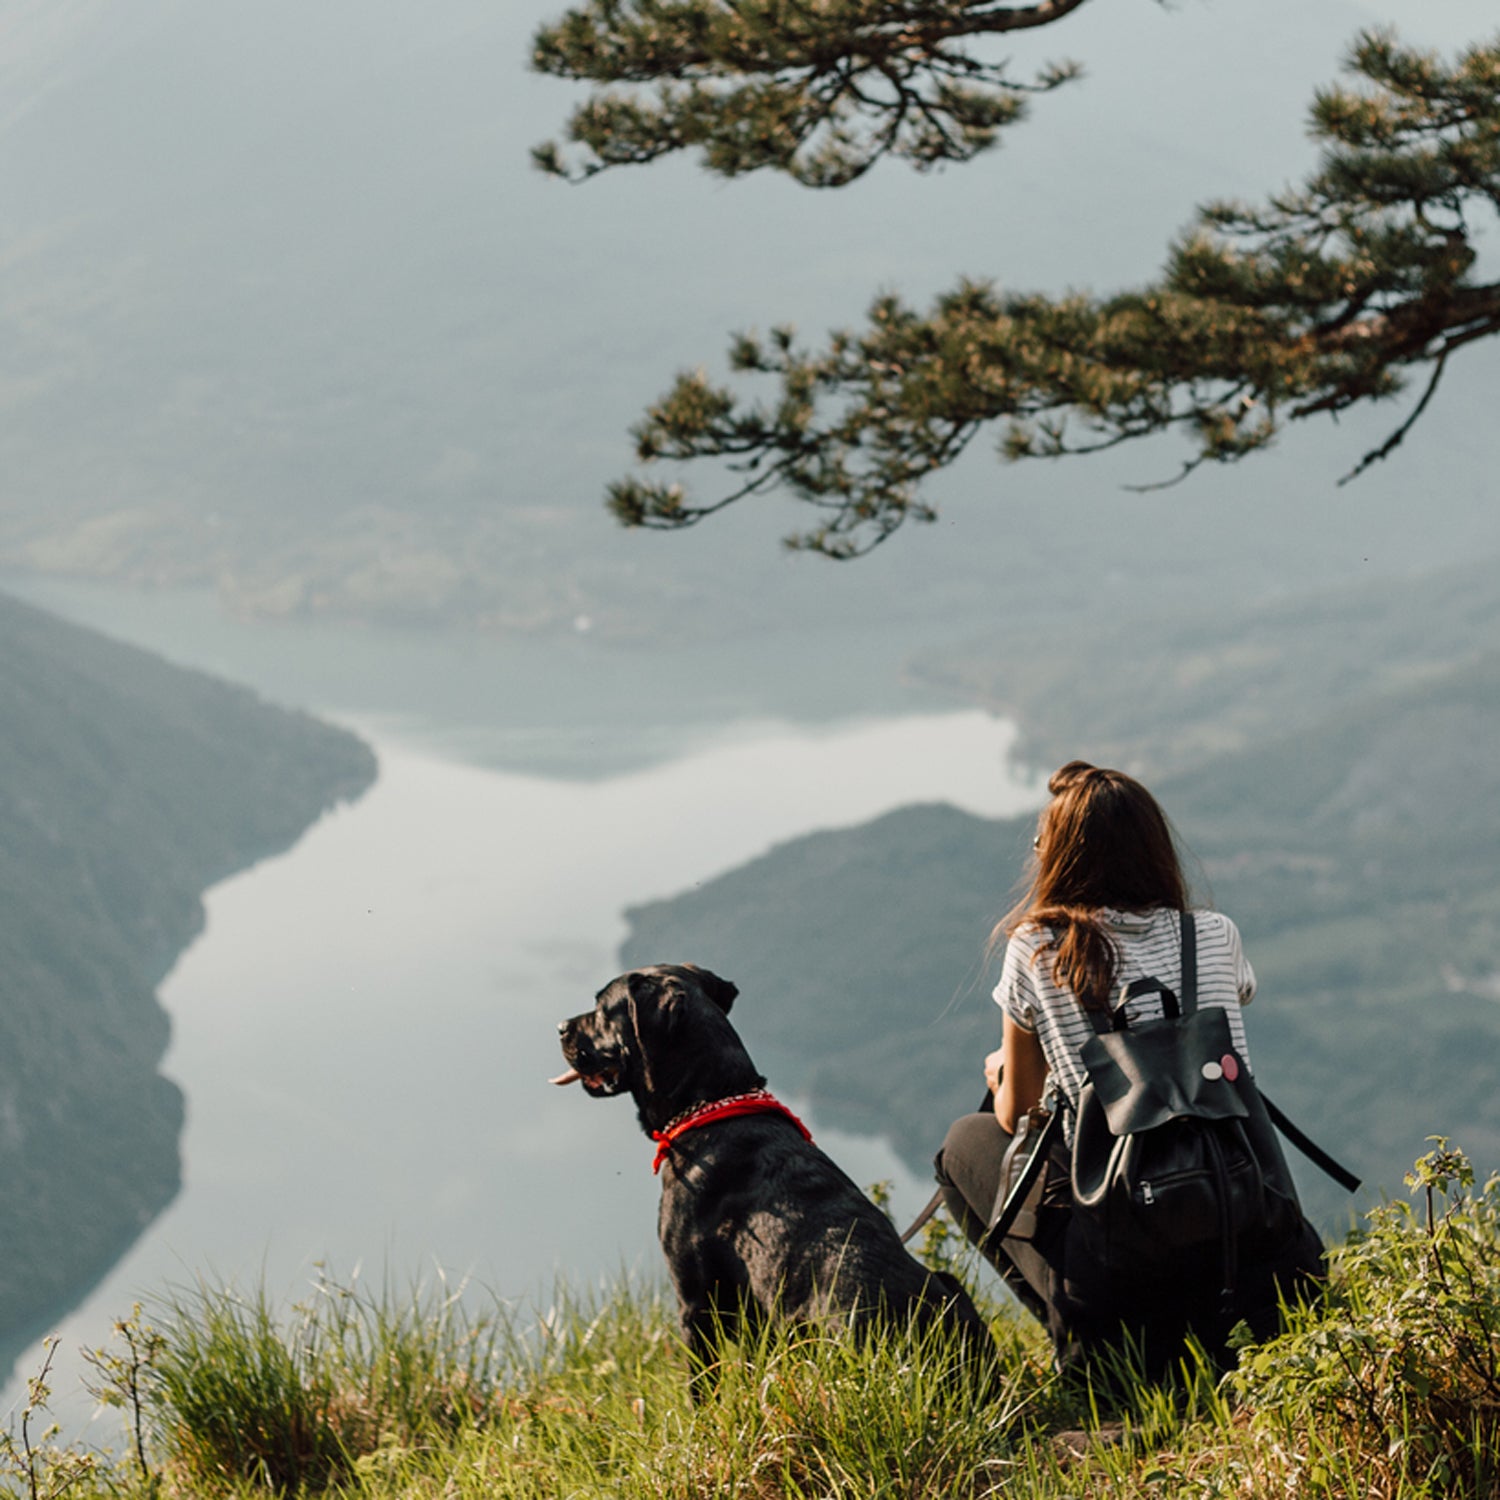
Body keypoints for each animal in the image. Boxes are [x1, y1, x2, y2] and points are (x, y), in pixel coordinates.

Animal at [552, 966, 996, 1386]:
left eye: (601, 1007)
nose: (560, 1028)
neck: (715, 1103)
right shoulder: (752, 1318)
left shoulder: (695, 1301)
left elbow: (702, 1387)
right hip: (951, 1290)